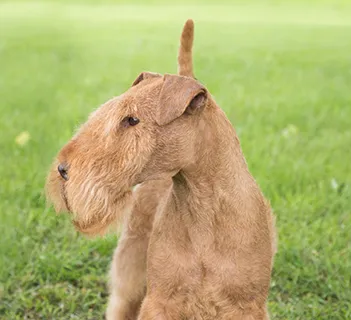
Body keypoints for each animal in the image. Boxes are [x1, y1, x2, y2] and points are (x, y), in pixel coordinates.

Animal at [46, 18, 278, 318]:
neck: (205, 207)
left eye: (132, 119)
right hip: (131, 265)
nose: (63, 170)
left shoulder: (245, 305)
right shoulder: (160, 300)